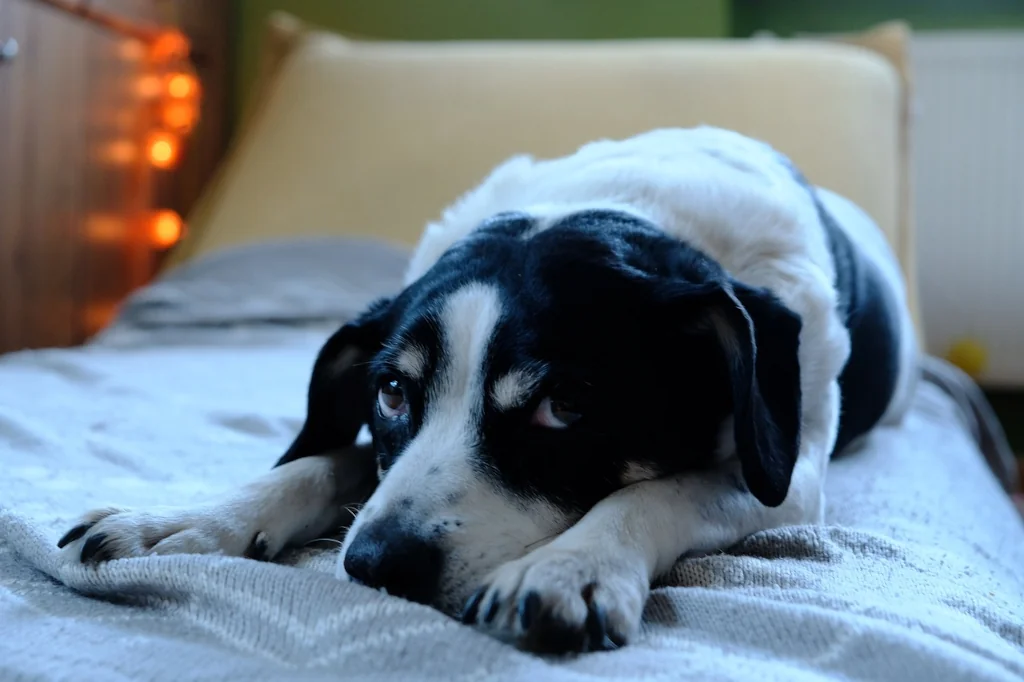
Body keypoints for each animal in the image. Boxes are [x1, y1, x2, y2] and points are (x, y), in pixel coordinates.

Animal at [56, 127, 921, 655]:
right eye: (391, 392)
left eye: (564, 407)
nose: (375, 565)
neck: (630, 207)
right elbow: (324, 462)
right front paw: (192, 521)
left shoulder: (786, 479)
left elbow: (656, 491)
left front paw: (570, 566)